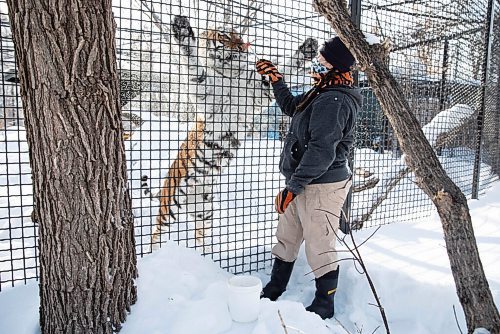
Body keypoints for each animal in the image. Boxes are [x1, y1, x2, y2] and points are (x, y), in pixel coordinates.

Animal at [146, 14, 318, 252]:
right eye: (225, 36)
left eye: (239, 35)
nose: (241, 45)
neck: (231, 74)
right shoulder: (205, 93)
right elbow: (192, 63)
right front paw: (182, 30)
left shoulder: (259, 89)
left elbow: (285, 68)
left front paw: (308, 49)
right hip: (170, 205)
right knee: (157, 235)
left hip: (205, 211)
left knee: (201, 237)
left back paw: (205, 256)